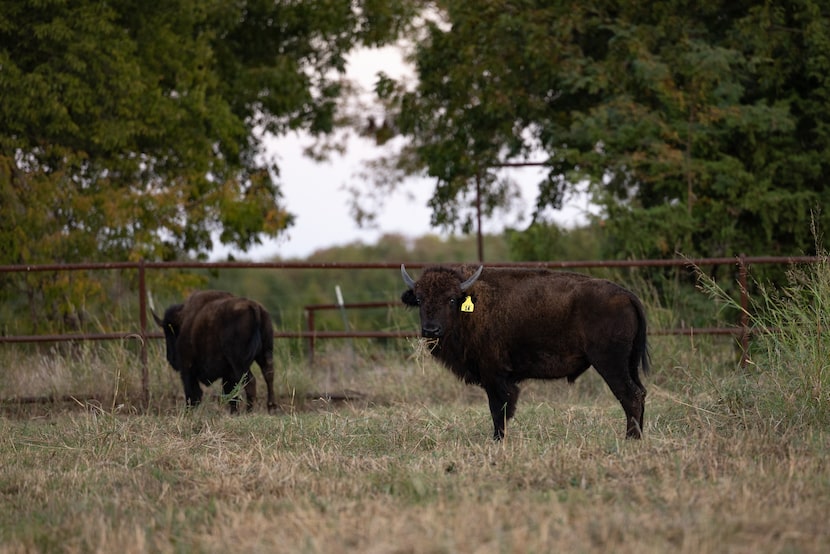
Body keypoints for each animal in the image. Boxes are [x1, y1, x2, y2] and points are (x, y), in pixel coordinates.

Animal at [402, 264, 648, 440]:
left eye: (451, 299)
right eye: (419, 299)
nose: (431, 329)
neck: (471, 305)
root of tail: (627, 295)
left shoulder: (494, 376)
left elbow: (498, 409)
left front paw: (498, 440)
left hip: (610, 363)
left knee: (630, 395)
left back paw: (630, 439)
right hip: (629, 364)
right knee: (641, 393)